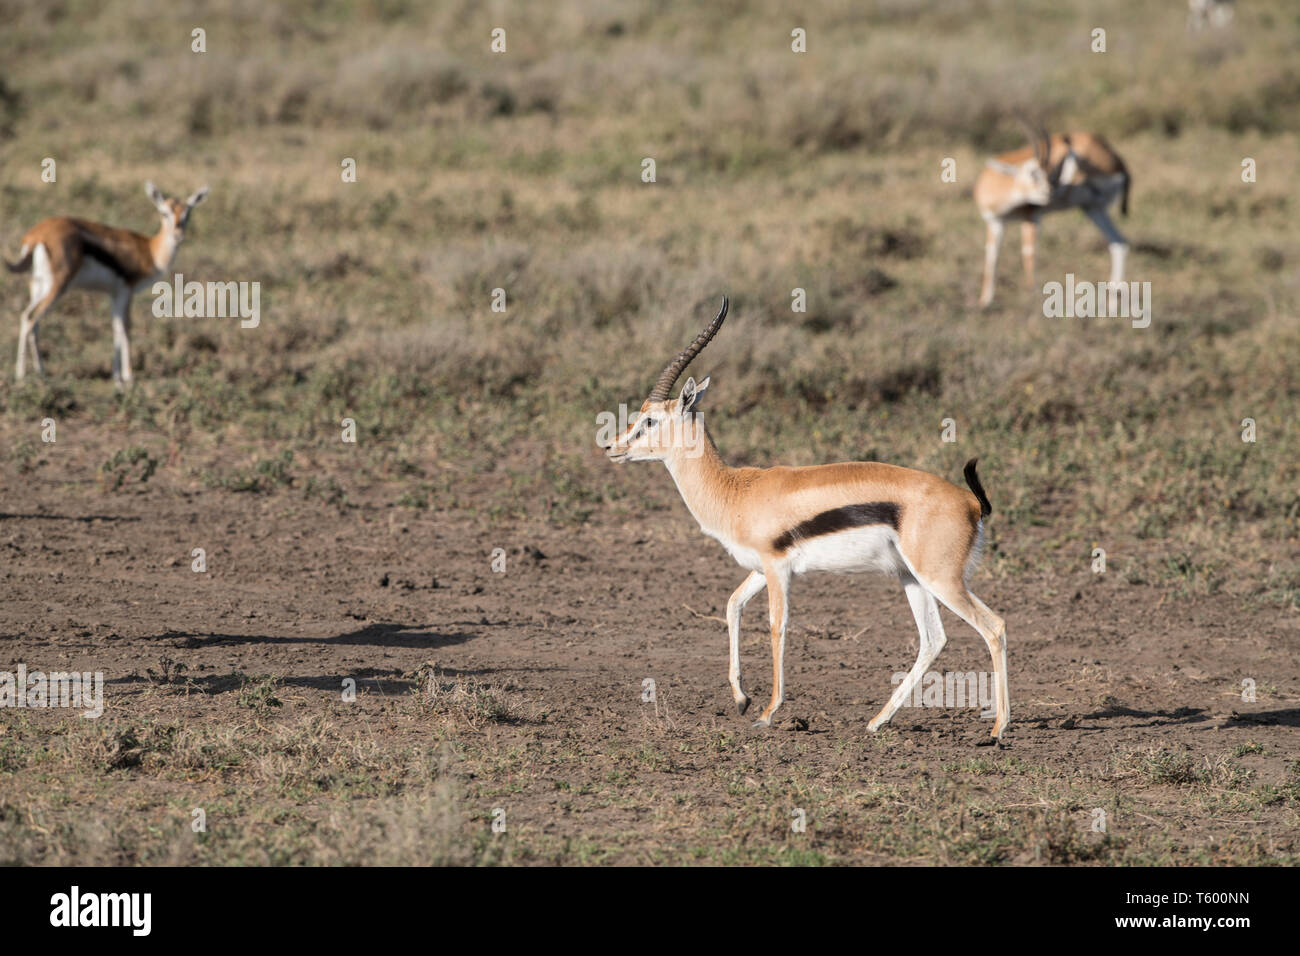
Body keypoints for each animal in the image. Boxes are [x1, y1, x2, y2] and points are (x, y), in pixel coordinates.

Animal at [5, 181, 210, 387]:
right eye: (164, 213)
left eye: (187, 213)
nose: (178, 235)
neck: (150, 251)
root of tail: (35, 236)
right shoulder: (126, 291)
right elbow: (125, 329)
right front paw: (128, 378)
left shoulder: (114, 293)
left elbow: (115, 328)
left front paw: (117, 378)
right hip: (58, 286)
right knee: (30, 317)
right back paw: (21, 377)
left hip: (38, 286)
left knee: (33, 321)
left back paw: (41, 373)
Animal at [604, 298, 1010, 740]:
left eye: (650, 420)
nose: (612, 446)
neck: (737, 490)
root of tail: (970, 502)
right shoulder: (760, 567)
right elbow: (731, 606)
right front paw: (741, 699)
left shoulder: (778, 569)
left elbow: (776, 627)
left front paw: (767, 712)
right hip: (911, 577)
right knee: (933, 639)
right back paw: (876, 722)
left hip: (941, 579)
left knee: (994, 626)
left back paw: (998, 729)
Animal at [975, 121, 1131, 308]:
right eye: (1032, 173)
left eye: (1047, 172)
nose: (1048, 191)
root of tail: (1118, 161)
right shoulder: (995, 222)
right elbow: (992, 257)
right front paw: (985, 301)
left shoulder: (1032, 216)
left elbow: (1029, 253)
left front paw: (1032, 296)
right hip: (1092, 208)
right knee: (1119, 242)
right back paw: (1113, 304)